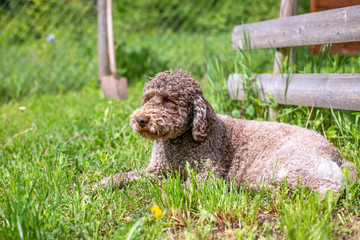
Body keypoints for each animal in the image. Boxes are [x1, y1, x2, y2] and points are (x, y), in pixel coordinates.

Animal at [94, 68, 358, 196]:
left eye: (169, 101)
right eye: (147, 98)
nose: (141, 119)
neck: (178, 143)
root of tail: (339, 157)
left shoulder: (207, 174)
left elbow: (183, 188)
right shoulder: (156, 171)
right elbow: (119, 177)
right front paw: (95, 187)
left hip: (286, 167)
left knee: (332, 189)